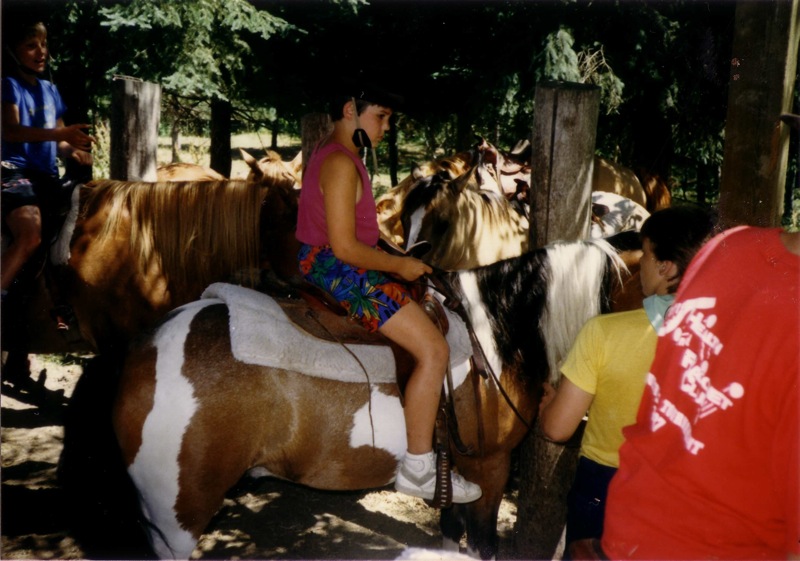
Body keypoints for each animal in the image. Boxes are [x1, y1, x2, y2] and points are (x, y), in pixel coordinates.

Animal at [111, 234, 638, 560]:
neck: (497, 332)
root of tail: (143, 349)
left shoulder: (456, 471)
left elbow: (450, 533)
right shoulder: (490, 466)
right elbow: (484, 542)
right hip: (179, 516)